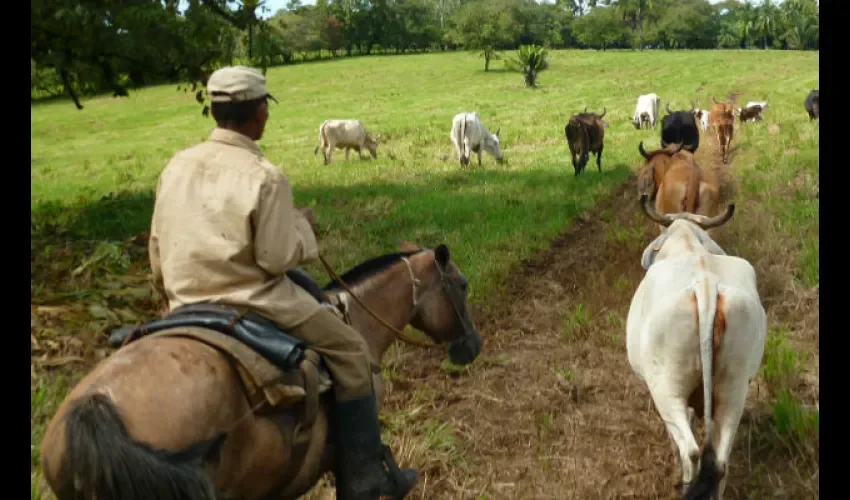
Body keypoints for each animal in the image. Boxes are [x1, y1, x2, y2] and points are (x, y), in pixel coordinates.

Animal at [624, 194, 768, 500]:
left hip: (666, 388)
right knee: (719, 462)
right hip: (735, 388)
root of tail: (706, 286)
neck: (687, 246)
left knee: (690, 451)